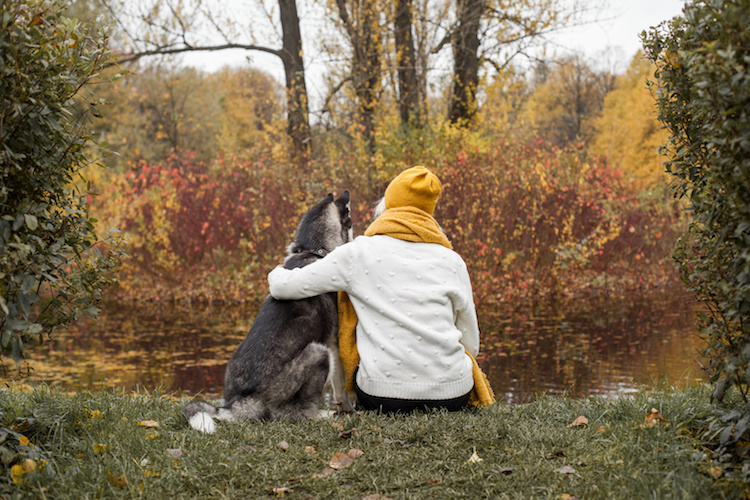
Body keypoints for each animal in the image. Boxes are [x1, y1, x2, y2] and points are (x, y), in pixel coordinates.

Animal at [185, 189, 356, 432]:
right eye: (348, 210)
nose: (347, 192)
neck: (316, 251)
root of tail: (240, 403)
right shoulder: (334, 343)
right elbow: (341, 387)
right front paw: (348, 409)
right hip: (319, 353)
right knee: (299, 411)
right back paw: (321, 415)